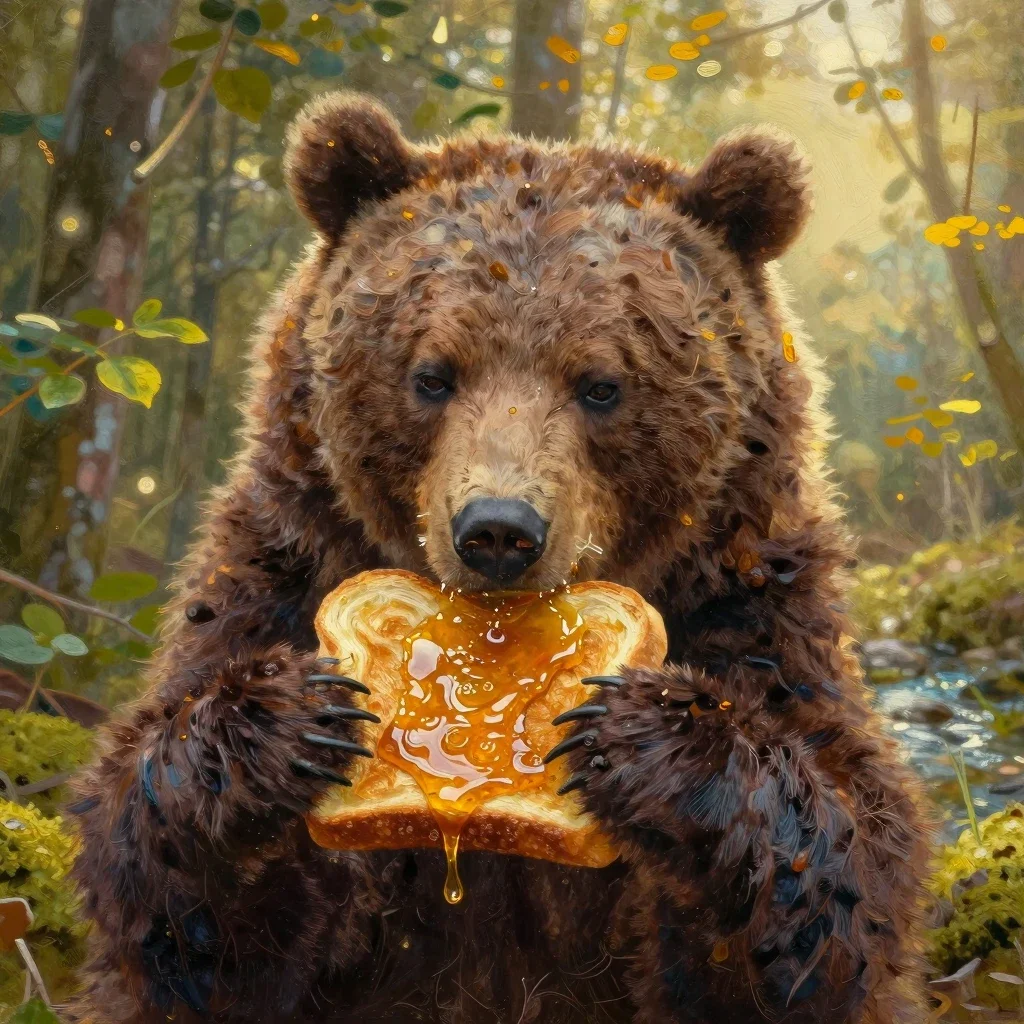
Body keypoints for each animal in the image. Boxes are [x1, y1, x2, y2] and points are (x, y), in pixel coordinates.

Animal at [66, 92, 932, 1024]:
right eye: (432, 374)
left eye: (601, 384)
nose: (498, 531)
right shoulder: (277, 569)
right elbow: (181, 912)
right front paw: (287, 724)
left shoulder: (754, 602)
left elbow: (843, 879)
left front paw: (646, 736)